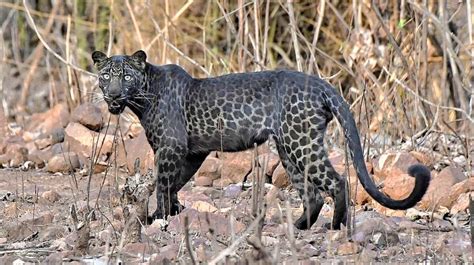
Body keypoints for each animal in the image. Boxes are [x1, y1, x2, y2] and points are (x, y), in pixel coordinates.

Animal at [90, 50, 432, 229]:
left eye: (126, 77)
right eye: (106, 76)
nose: (113, 94)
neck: (142, 98)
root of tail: (322, 84)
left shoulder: (171, 147)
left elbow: (162, 183)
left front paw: (159, 218)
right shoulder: (191, 152)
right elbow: (174, 183)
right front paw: (172, 212)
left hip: (301, 142)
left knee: (336, 182)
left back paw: (335, 227)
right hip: (288, 148)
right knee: (312, 194)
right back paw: (296, 228)